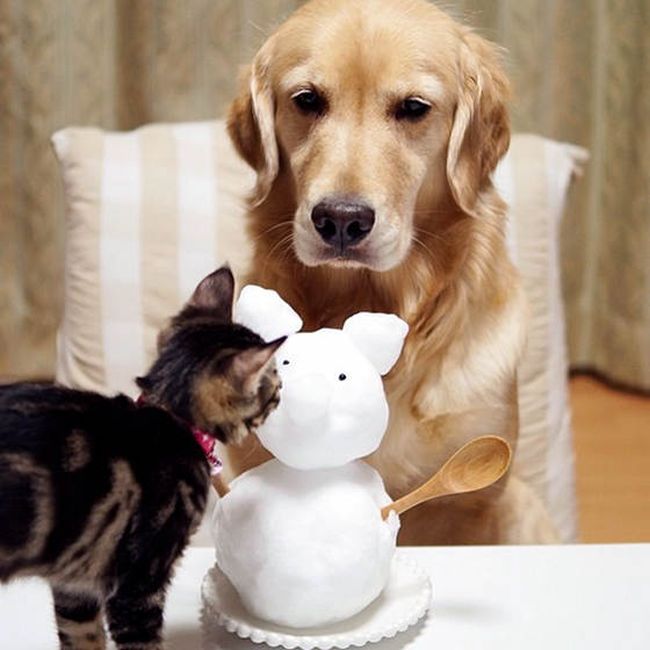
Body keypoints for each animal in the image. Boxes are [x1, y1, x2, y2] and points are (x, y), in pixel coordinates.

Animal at [0, 264, 284, 648]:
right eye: (275, 380)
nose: (283, 392)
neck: (171, 419)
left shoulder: (75, 581)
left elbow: (82, 637)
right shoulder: (138, 582)